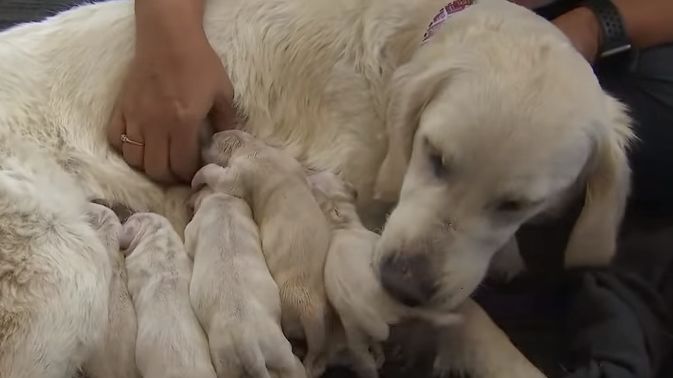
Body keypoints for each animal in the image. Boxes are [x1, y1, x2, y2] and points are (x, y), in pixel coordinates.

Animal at [308, 172, 460, 378]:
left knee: (369, 357)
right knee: (424, 314)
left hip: (356, 338)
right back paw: (450, 318)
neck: (340, 225)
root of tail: (366, 310)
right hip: (397, 302)